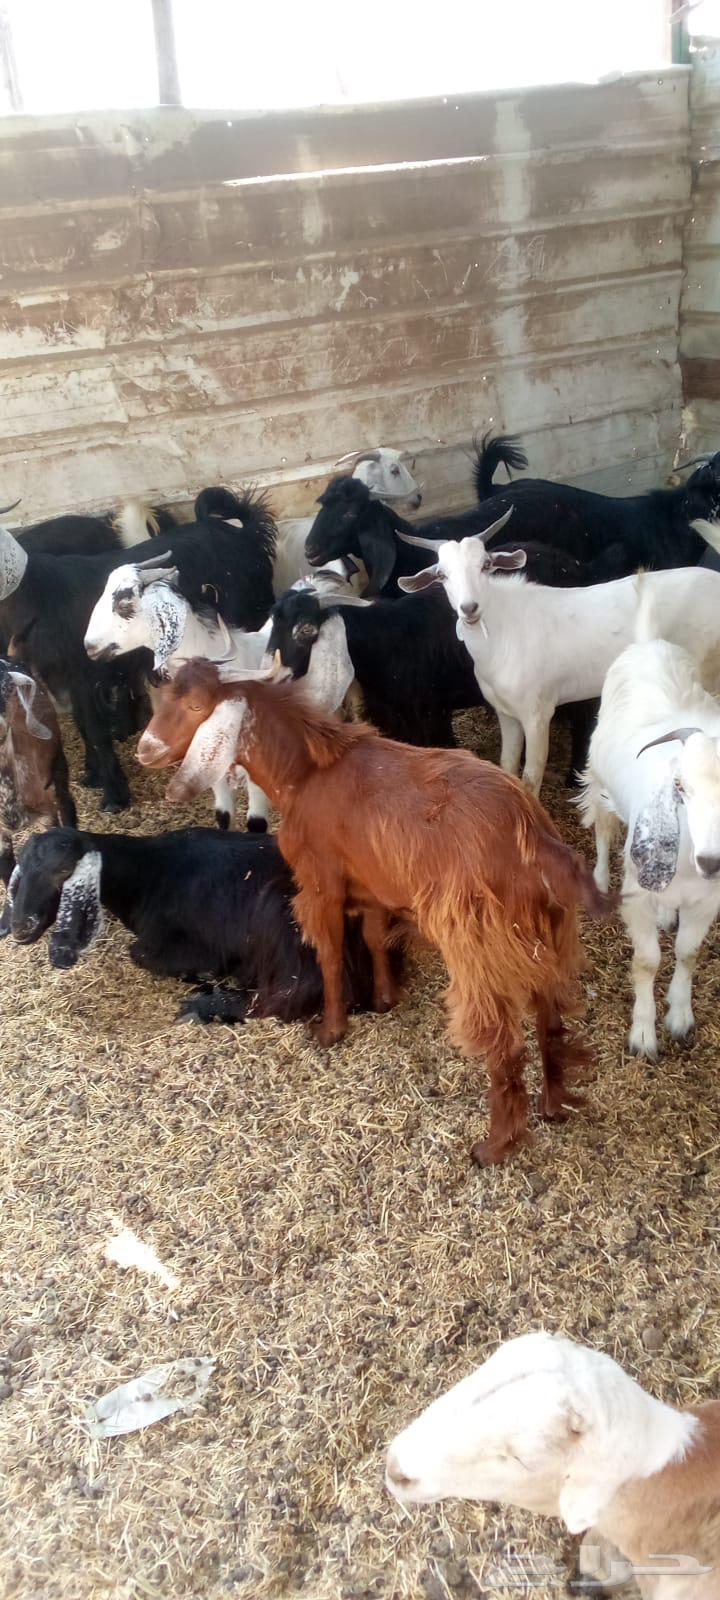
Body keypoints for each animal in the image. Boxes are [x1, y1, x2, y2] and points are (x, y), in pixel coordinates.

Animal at [0, 487, 277, 811]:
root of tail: (245, 533)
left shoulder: (83, 675)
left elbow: (95, 730)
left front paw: (114, 794)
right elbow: (84, 725)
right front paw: (93, 774)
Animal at [10, 826, 404, 1024]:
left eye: (64, 870)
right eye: (21, 867)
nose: (20, 927)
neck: (148, 872)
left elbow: (141, 953)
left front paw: (206, 979)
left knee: (290, 994)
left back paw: (208, 1006)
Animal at [137, 664, 615, 1164]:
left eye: (196, 706)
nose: (144, 750)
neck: (307, 773)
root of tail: (533, 836)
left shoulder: (322, 885)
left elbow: (329, 955)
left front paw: (330, 1030)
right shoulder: (370, 884)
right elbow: (372, 938)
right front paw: (384, 1000)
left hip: (479, 942)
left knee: (504, 1040)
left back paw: (496, 1144)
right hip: (543, 931)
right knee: (550, 1014)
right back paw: (554, 1104)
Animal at [399, 511, 720, 795]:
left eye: (485, 564)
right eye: (442, 575)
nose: (469, 608)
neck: (504, 632)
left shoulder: (537, 714)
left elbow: (531, 775)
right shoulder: (506, 712)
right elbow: (507, 764)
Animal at [578, 589, 720, 1059]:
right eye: (680, 786)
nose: (712, 861)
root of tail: (646, 642)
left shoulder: (708, 902)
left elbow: (688, 953)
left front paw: (680, 1016)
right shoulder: (637, 896)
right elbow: (647, 961)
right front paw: (643, 1034)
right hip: (599, 779)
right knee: (603, 829)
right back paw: (599, 879)